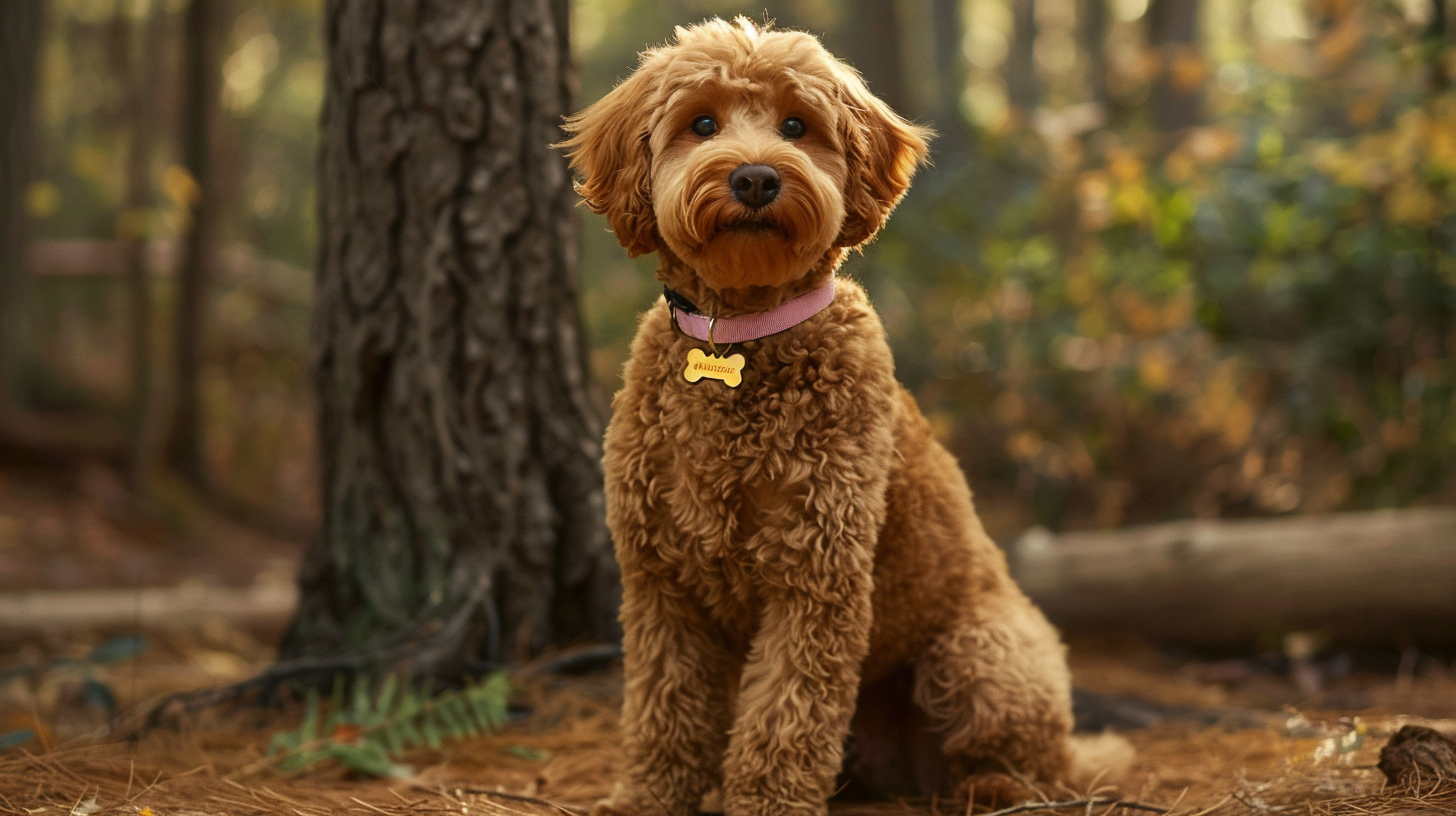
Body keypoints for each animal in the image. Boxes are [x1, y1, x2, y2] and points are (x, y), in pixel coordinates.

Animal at [556, 17, 1124, 816]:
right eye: (702, 124)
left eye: (797, 126)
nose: (756, 178)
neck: (740, 337)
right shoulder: (663, 585)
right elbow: (664, 710)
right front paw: (648, 798)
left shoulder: (815, 577)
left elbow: (784, 716)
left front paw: (765, 802)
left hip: (983, 656)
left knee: (1038, 762)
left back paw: (993, 783)